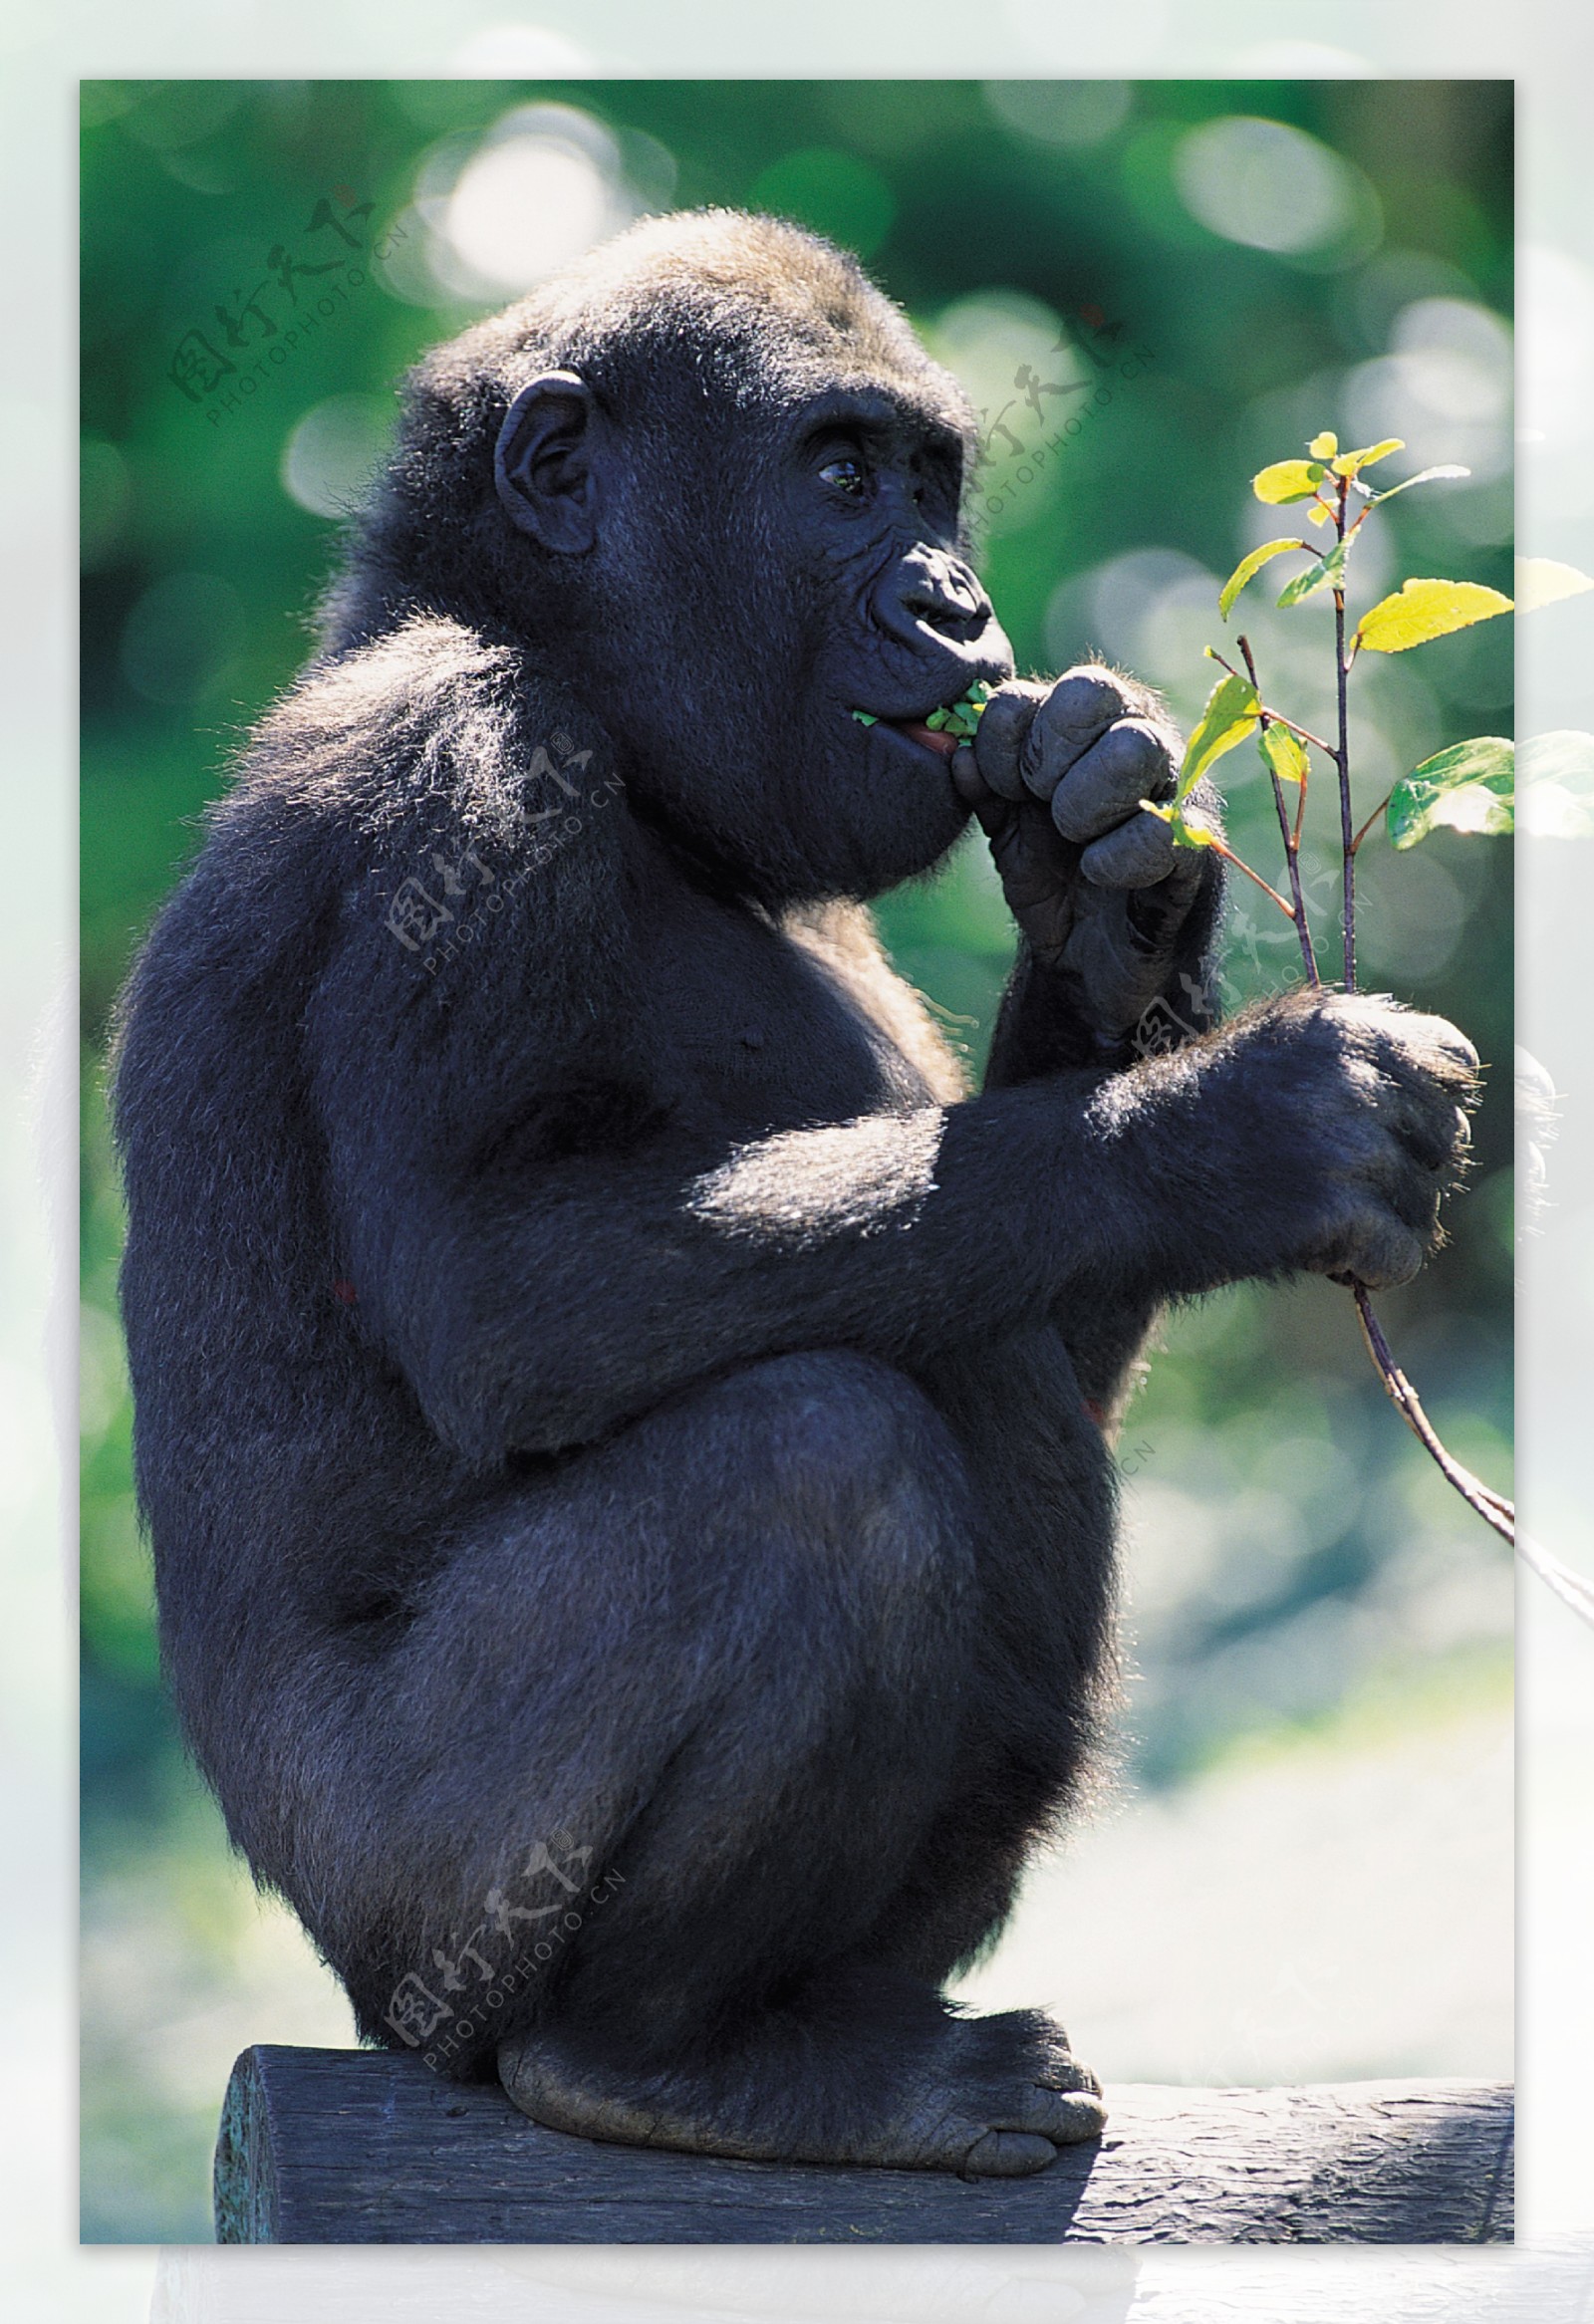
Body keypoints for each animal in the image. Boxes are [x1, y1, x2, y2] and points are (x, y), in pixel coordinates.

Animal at [116, 204, 1486, 2175]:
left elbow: (1046, 1318)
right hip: (416, 1934)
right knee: (816, 1462)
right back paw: (655, 2051)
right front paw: (1240, 1129)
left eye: (933, 484)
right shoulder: (462, 768)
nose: (957, 606)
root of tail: (356, 1998)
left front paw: (1115, 887)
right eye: (841, 477)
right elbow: (501, 1283)